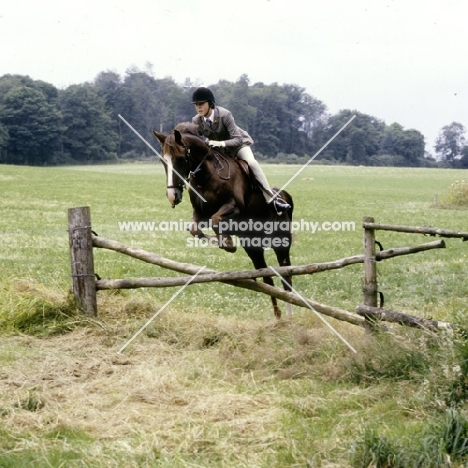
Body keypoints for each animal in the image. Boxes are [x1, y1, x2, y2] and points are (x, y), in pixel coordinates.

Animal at [153, 121, 292, 318]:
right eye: (163, 161)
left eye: (180, 159)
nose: (173, 196)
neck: (206, 176)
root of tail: (283, 196)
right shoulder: (200, 213)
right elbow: (196, 228)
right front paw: (222, 241)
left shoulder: (234, 208)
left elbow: (216, 220)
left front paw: (227, 242)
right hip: (253, 247)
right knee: (267, 279)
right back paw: (278, 316)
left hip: (281, 243)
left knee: (287, 277)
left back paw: (289, 315)